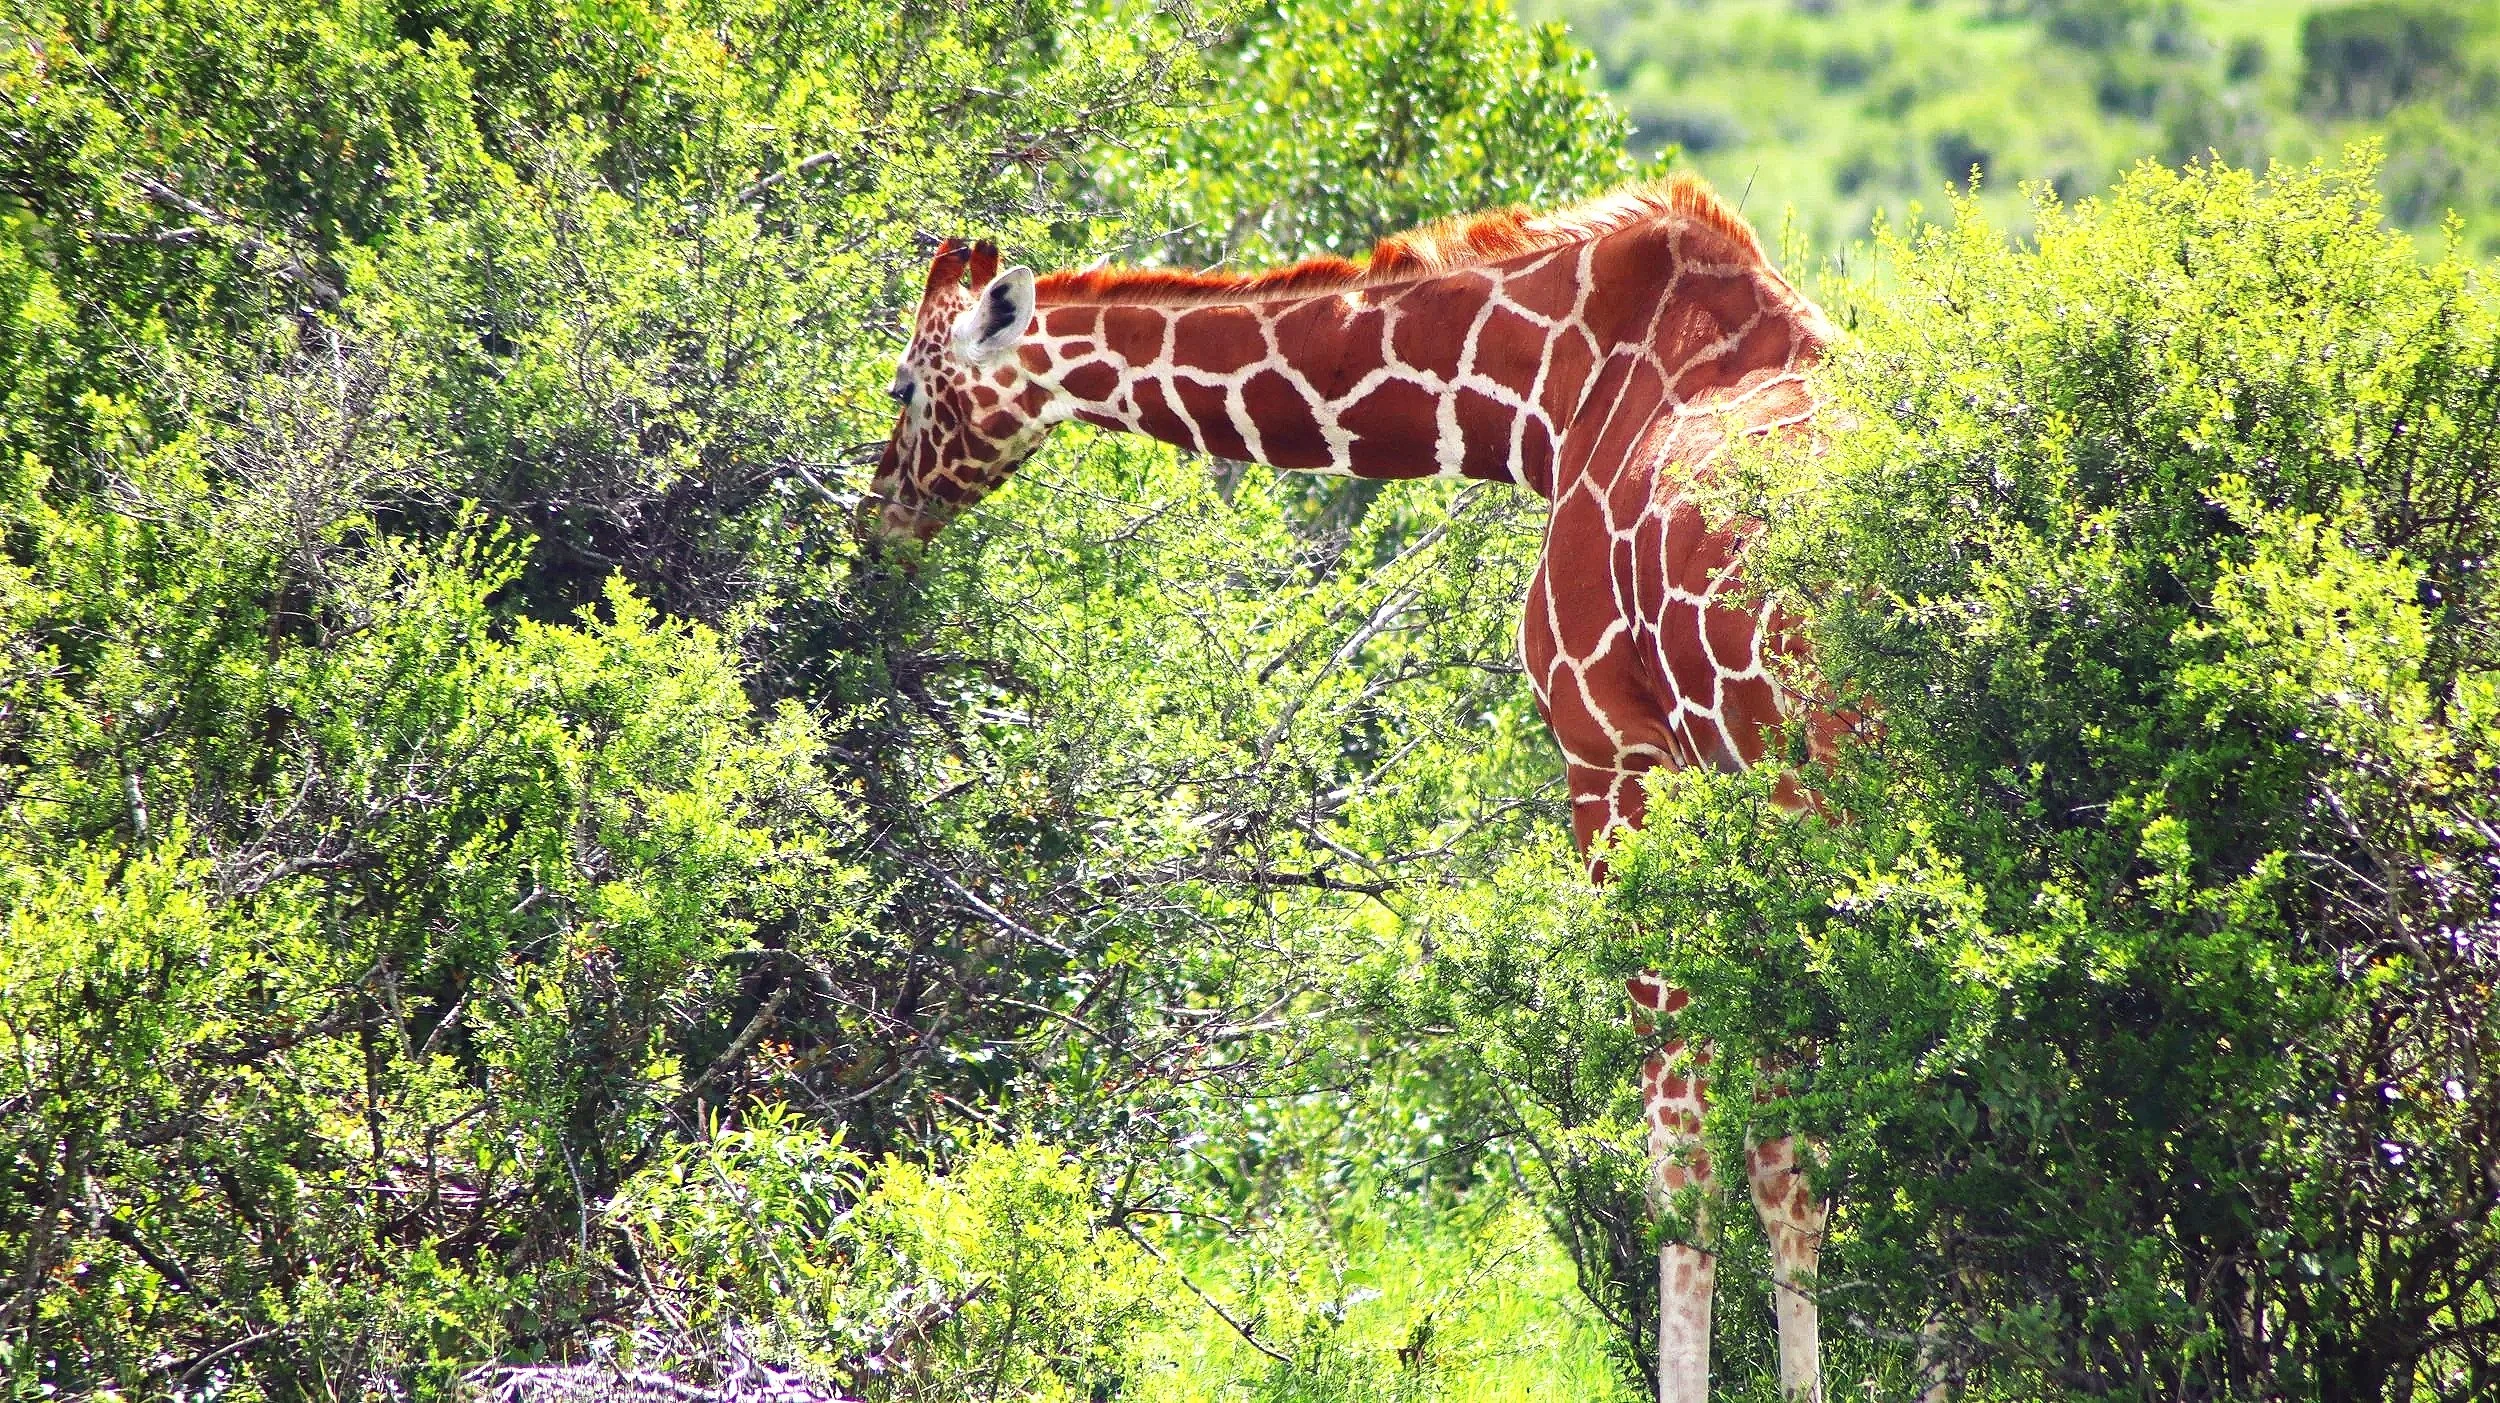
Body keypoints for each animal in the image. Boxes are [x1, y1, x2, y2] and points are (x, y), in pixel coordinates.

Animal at [866, 176, 1845, 1403]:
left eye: (903, 383)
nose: (875, 519)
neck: (1545, 392)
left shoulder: (1616, 760)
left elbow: (1683, 1154)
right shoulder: (1728, 801)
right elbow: (1783, 1160)